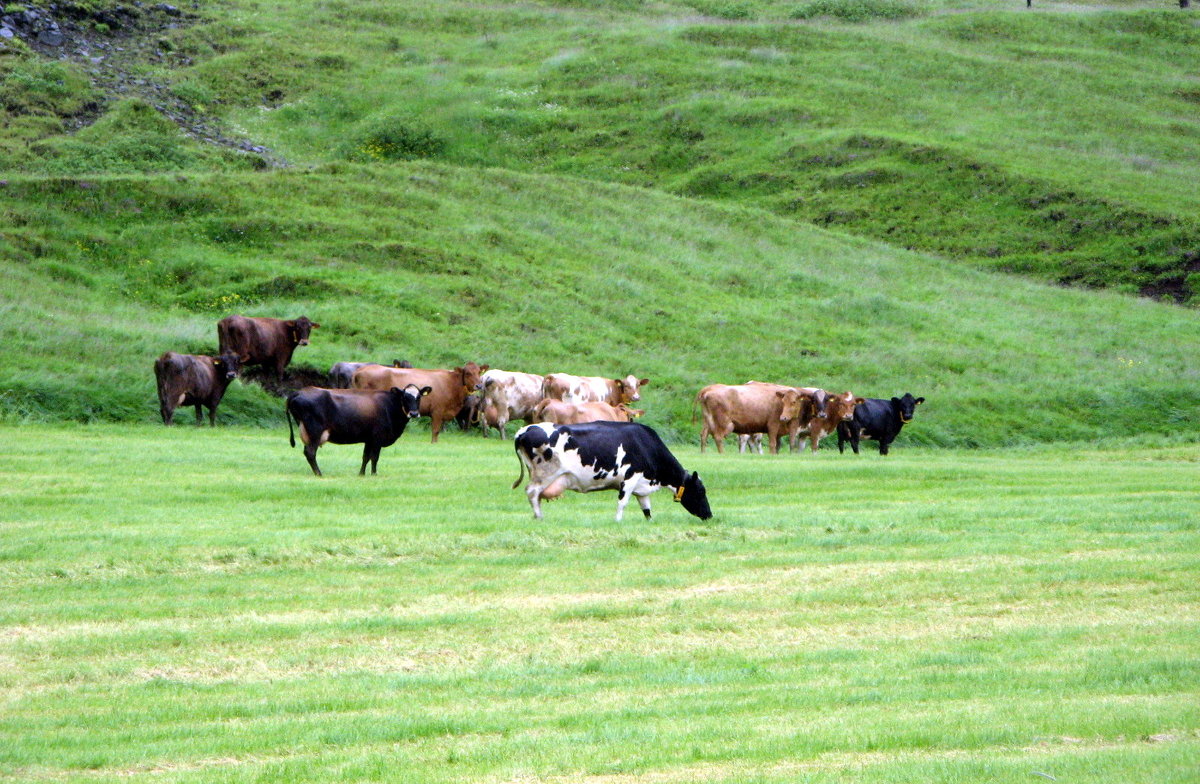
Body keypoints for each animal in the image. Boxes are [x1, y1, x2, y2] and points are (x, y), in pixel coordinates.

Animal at [285, 381, 432, 473]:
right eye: (405, 397)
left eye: (418, 397)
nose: (414, 413)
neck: (390, 405)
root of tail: (299, 392)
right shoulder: (378, 438)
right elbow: (375, 458)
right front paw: (374, 474)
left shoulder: (369, 439)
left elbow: (365, 457)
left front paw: (361, 474)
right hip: (314, 431)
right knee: (310, 453)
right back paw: (319, 474)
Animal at [350, 360, 487, 439]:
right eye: (467, 373)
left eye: (479, 372)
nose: (479, 385)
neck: (451, 383)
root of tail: (360, 370)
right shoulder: (437, 411)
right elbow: (435, 432)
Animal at [508, 422, 710, 518]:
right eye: (701, 491)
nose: (709, 515)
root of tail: (525, 430)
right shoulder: (629, 478)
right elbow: (622, 503)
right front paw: (617, 521)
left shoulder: (642, 487)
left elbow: (647, 509)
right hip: (544, 474)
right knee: (532, 492)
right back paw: (539, 517)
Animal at [691, 384, 820, 456]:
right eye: (783, 401)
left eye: (793, 402)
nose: (783, 417)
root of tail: (707, 390)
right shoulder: (773, 424)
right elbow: (773, 444)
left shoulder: (792, 423)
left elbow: (791, 443)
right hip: (725, 423)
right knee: (718, 437)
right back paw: (722, 453)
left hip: (708, 421)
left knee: (703, 435)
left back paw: (703, 452)